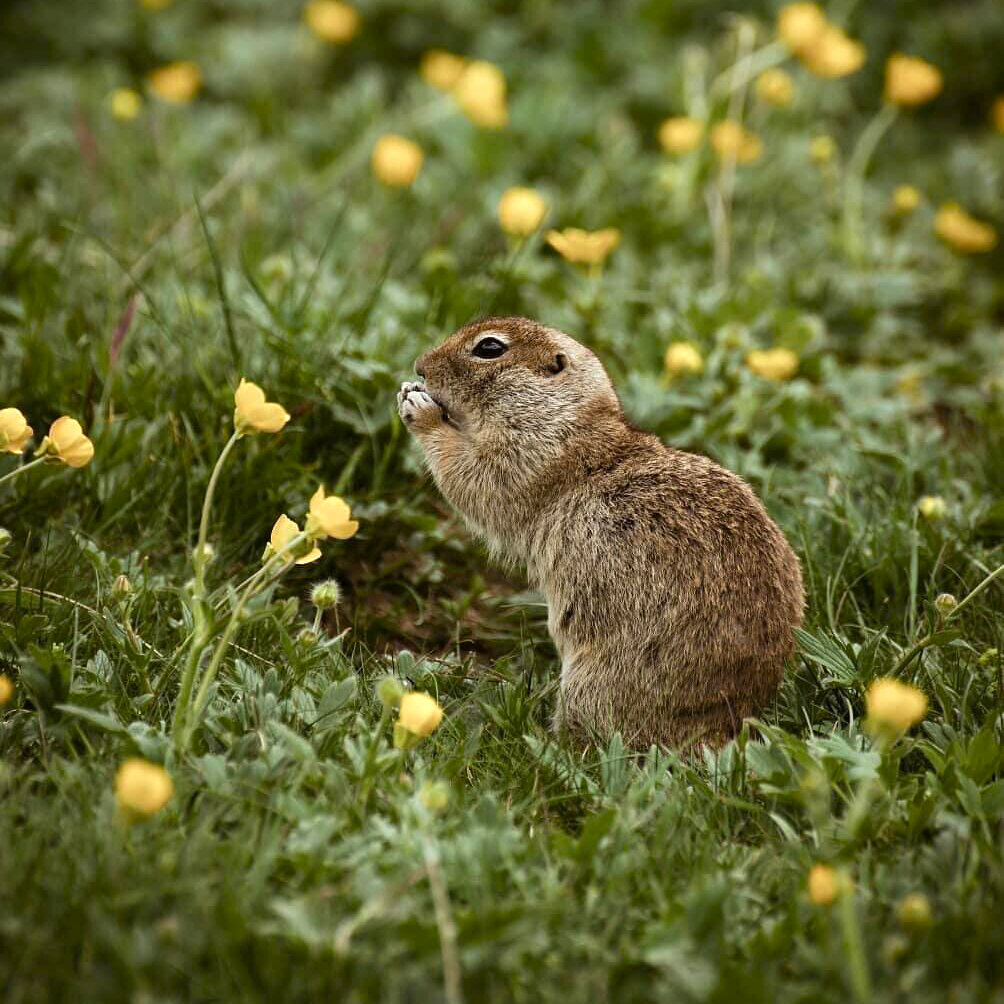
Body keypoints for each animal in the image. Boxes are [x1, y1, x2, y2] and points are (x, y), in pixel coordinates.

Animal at [395, 317, 803, 750]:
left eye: (489, 348)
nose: (420, 367)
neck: (573, 420)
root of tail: (725, 724)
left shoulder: (527, 453)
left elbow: (476, 477)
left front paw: (417, 407)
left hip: (591, 685)